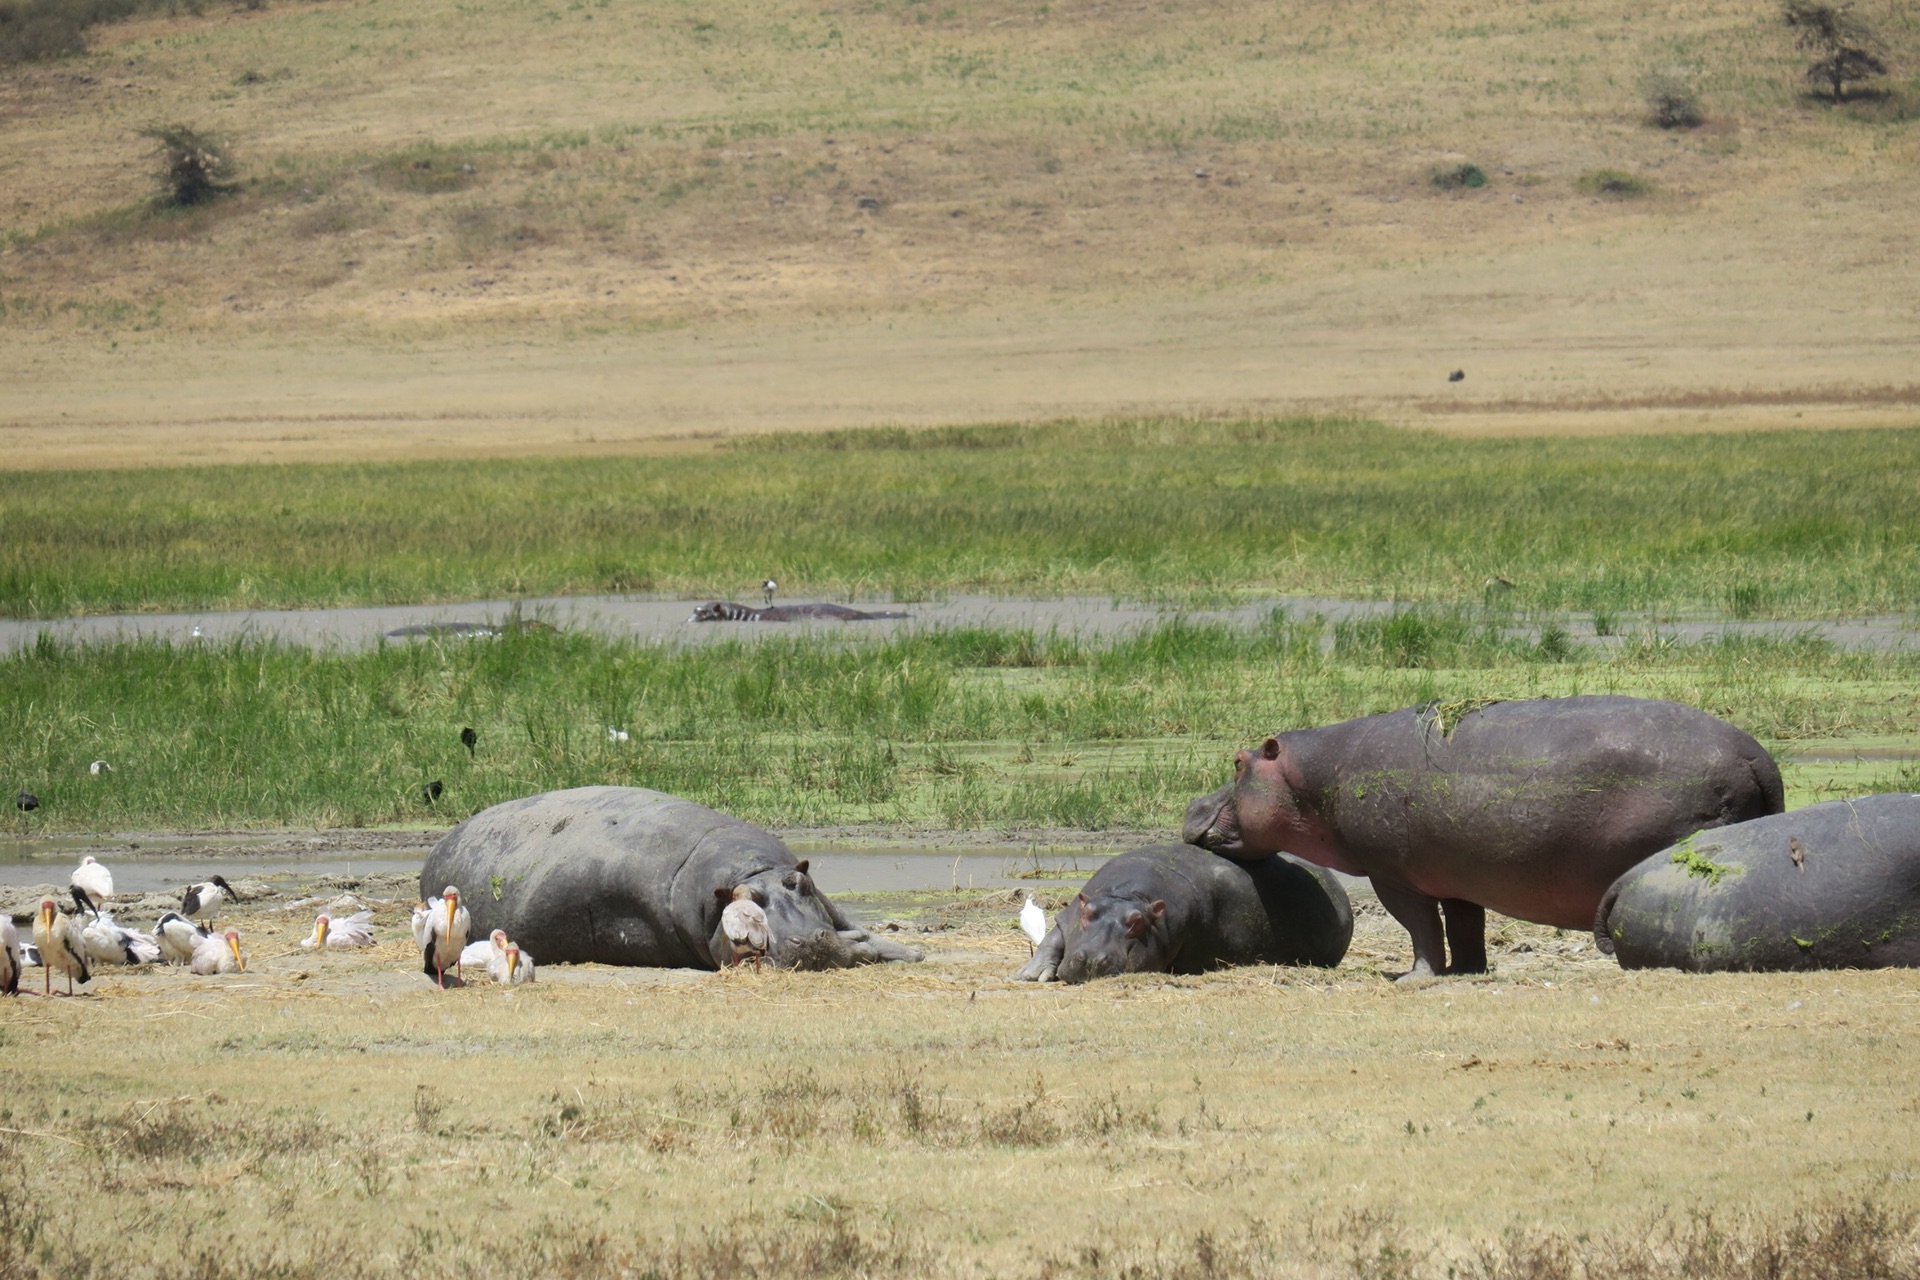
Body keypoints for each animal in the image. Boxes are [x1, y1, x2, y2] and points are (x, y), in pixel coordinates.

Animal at [418, 790, 921, 971]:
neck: (746, 873)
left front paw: (903, 950)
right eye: (748, 902)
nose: (811, 941)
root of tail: (435, 851)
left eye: (801, 885)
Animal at [1013, 844, 1359, 990]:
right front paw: (1028, 975)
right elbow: (1054, 935)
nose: (1093, 959)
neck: (1129, 897)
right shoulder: (1073, 912)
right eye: (1087, 913)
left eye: (1137, 922)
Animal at [1182, 702, 1781, 982]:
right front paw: (1466, 972)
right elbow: (1464, 925)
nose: (1189, 808)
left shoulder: (1391, 874)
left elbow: (1421, 929)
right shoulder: (1454, 875)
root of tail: (1759, 756)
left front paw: (1413, 979)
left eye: (1237, 762)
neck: (1310, 779)